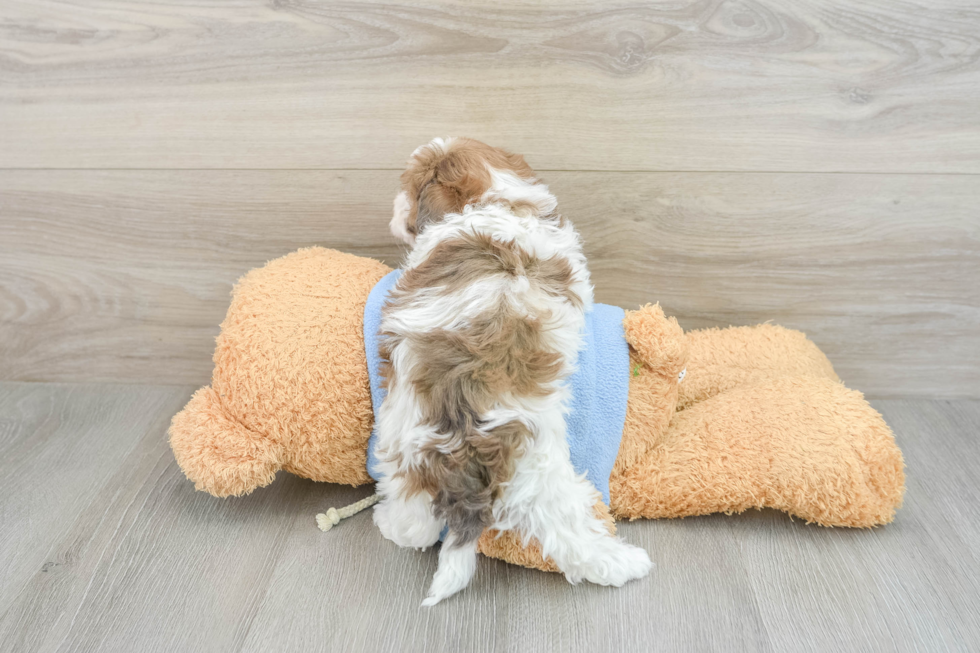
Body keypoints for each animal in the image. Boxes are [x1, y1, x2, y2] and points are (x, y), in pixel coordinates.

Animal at [374, 138, 652, 608]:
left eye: (407, 189)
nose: (393, 207)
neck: (495, 200)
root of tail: (466, 436)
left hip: (405, 442)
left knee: (416, 521)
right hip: (536, 468)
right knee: (569, 533)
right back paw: (625, 564)